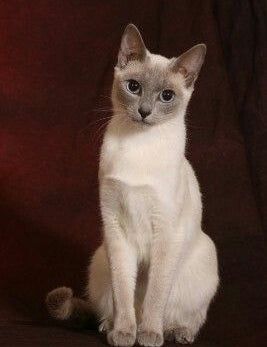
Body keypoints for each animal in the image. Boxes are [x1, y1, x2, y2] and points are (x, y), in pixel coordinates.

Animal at [46, 23, 220, 346]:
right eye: (134, 87)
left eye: (167, 95)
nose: (144, 111)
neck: (138, 145)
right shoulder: (115, 227)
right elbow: (124, 294)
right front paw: (125, 333)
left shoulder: (165, 232)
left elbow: (154, 297)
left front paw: (148, 335)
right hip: (100, 257)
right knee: (111, 306)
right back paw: (109, 327)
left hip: (205, 255)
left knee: (186, 316)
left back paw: (176, 332)